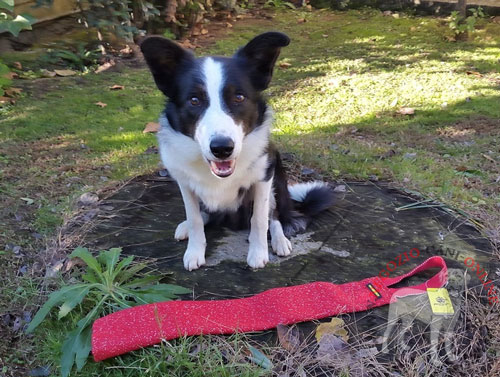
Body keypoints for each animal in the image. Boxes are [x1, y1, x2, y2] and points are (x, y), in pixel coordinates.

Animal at [141, 30, 336, 268]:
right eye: (194, 100)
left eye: (239, 97)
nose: (222, 148)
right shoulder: (185, 184)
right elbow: (195, 218)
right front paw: (195, 250)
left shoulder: (264, 178)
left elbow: (260, 219)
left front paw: (258, 253)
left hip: (277, 180)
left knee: (276, 217)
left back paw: (280, 240)